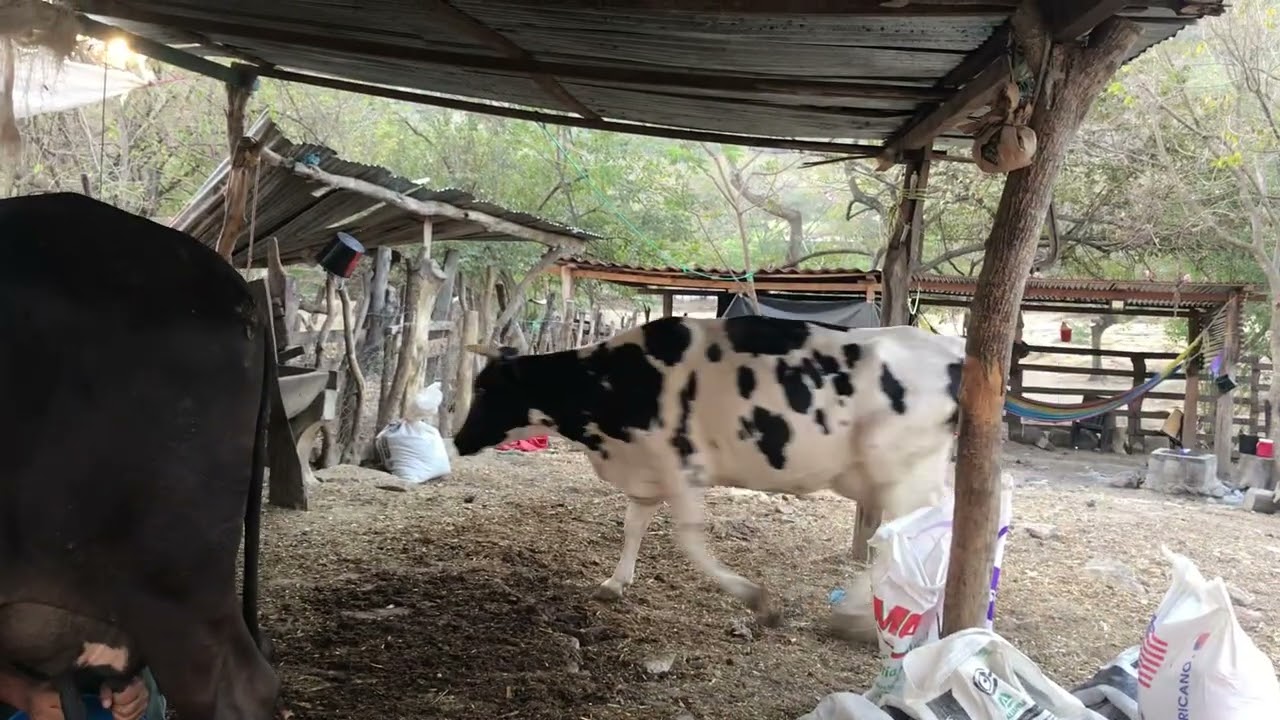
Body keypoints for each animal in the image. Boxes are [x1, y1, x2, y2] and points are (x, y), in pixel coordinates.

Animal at [452, 315, 966, 626]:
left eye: (486, 389)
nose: (458, 440)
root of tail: (954, 351)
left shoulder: (679, 464)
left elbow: (688, 537)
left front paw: (754, 597)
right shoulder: (647, 470)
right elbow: (633, 525)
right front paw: (615, 583)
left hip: (902, 471)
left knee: (908, 531)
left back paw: (858, 611)